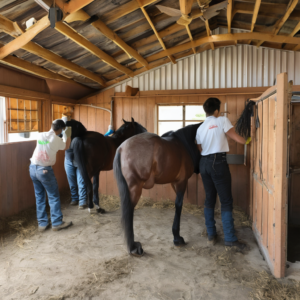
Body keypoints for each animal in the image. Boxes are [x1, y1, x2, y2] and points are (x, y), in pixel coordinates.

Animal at [113, 122, 203, 255]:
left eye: (124, 129)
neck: (184, 144)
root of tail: (121, 148)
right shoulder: (182, 181)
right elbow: (179, 205)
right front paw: (177, 237)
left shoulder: (174, 182)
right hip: (135, 188)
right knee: (129, 212)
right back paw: (133, 247)